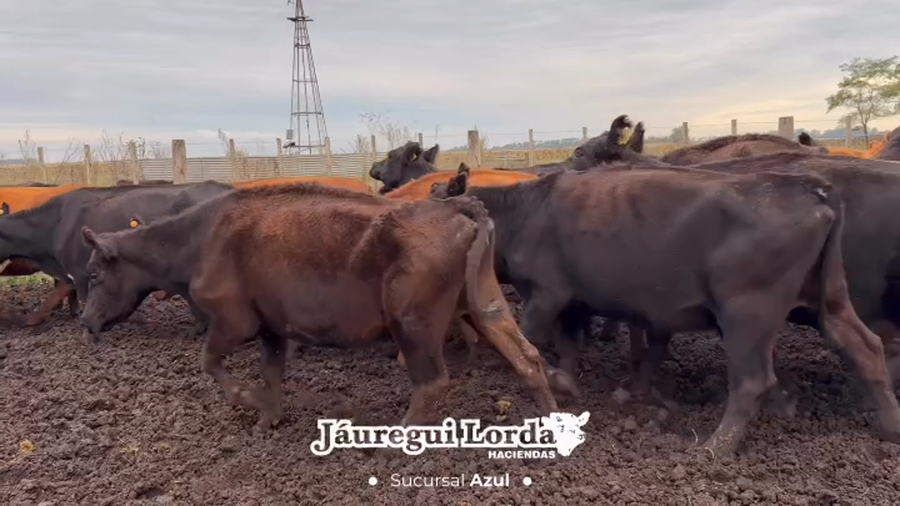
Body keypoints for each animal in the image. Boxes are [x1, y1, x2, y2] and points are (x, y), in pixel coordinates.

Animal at [77, 182, 569, 433]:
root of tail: (457, 206)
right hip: (483, 302)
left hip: (413, 321)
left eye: (96, 273)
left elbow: (211, 364)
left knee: (432, 382)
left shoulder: (233, 322)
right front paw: (269, 417)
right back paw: (552, 420)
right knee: (525, 355)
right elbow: (272, 371)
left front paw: (248, 401)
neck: (199, 240)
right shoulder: (272, 325)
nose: (84, 321)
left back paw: (398, 436)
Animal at [428, 164, 900, 457]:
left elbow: (530, 334)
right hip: (829, 300)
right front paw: (570, 380)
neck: (524, 210)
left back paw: (715, 447)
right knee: (867, 349)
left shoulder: (547, 292)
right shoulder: (573, 300)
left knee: (751, 380)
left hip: (747, 314)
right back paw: (891, 426)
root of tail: (807, 186)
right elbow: (567, 343)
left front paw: (558, 381)